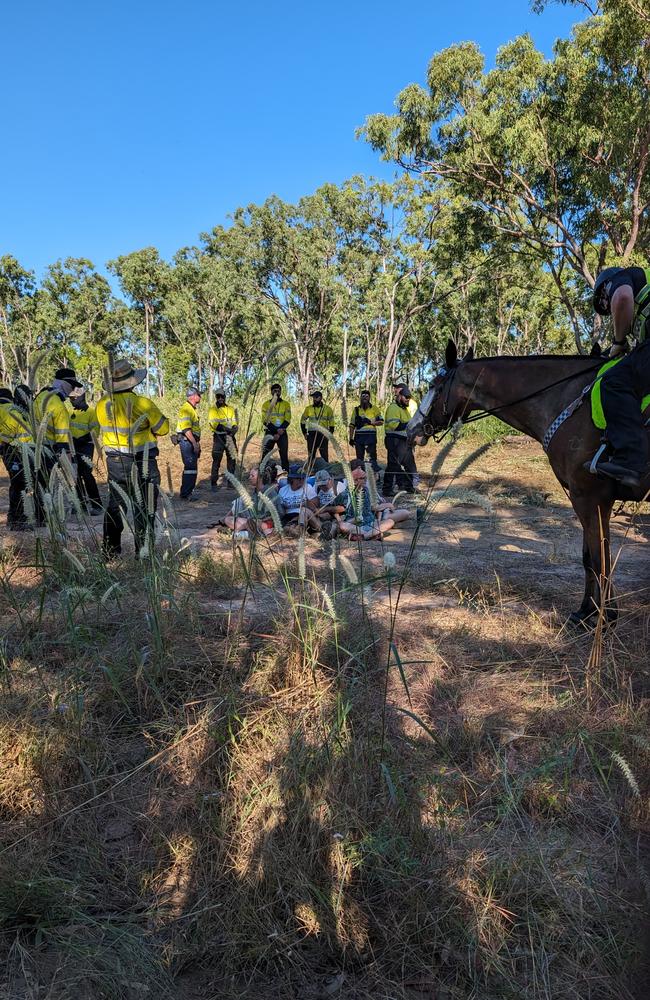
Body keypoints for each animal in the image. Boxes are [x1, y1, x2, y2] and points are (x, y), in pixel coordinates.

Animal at [408, 344, 644, 624]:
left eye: (435, 385)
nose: (411, 428)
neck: (568, 402)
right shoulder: (584, 498)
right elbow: (591, 557)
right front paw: (587, 612)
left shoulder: (591, 497)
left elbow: (600, 560)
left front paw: (603, 618)